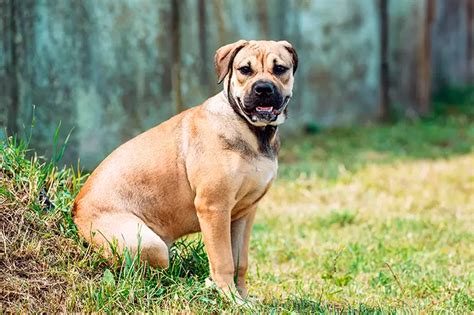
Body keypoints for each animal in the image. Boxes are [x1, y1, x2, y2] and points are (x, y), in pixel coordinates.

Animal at [72, 40, 298, 302]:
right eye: (245, 70)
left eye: (280, 68)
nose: (263, 89)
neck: (252, 132)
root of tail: (76, 207)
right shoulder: (214, 207)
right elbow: (223, 260)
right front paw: (230, 299)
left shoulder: (244, 213)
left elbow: (240, 261)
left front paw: (243, 297)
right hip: (149, 244)